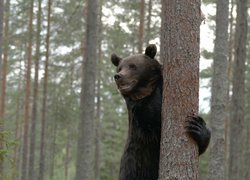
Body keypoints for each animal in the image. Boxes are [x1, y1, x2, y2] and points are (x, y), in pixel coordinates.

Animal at [110, 44, 210, 180]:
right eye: (120, 67)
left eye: (132, 66)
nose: (118, 76)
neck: (143, 94)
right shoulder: (143, 121)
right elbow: (154, 124)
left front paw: (198, 126)